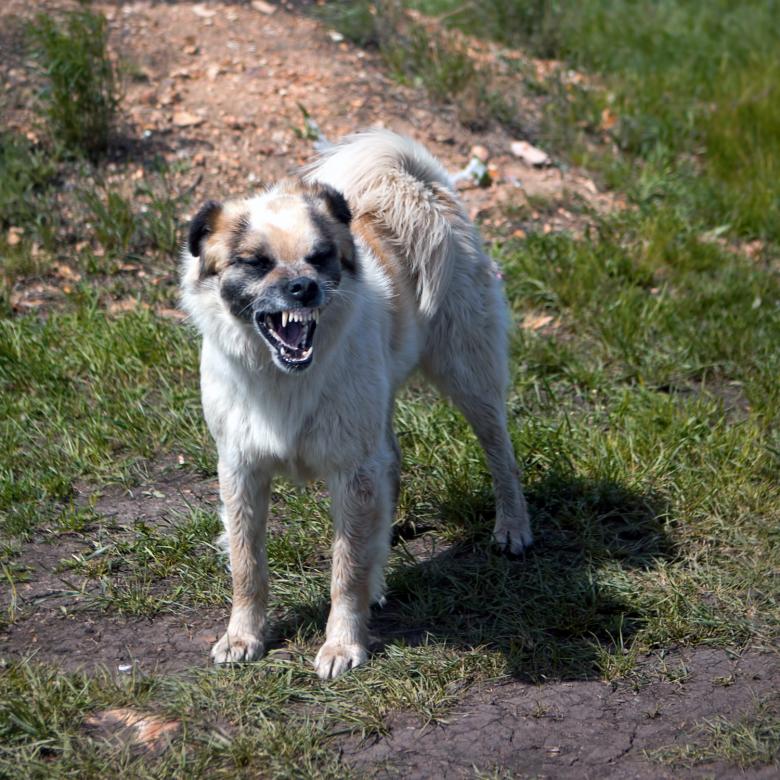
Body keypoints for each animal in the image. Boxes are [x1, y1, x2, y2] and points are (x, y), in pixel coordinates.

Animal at [178, 131, 532, 680]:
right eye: (256, 262)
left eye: (321, 256)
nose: (303, 287)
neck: (283, 379)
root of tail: (421, 186)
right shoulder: (240, 469)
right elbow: (246, 564)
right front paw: (242, 636)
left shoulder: (352, 472)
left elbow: (345, 570)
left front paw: (342, 644)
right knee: (393, 467)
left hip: (470, 376)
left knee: (501, 454)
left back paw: (512, 528)